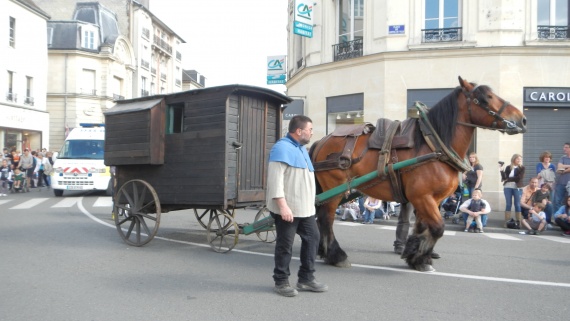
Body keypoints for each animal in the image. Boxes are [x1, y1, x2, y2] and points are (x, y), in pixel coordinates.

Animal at [308, 76, 524, 272]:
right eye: (486, 98)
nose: (522, 119)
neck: (434, 144)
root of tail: (323, 140)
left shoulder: (431, 199)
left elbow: (423, 228)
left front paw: (416, 255)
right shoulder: (422, 197)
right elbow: (438, 228)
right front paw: (420, 258)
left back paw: (323, 250)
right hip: (334, 188)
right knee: (326, 218)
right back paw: (336, 255)